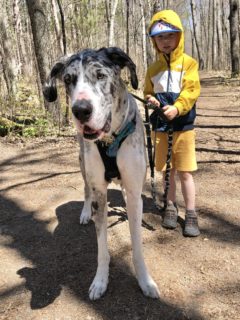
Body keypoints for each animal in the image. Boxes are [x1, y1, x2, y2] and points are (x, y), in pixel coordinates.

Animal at [43, 47, 159, 300]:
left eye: (100, 75)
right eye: (68, 79)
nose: (81, 110)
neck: (110, 140)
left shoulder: (134, 191)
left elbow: (137, 245)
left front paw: (145, 281)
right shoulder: (100, 192)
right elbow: (102, 249)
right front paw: (100, 281)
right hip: (83, 164)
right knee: (86, 190)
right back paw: (85, 212)